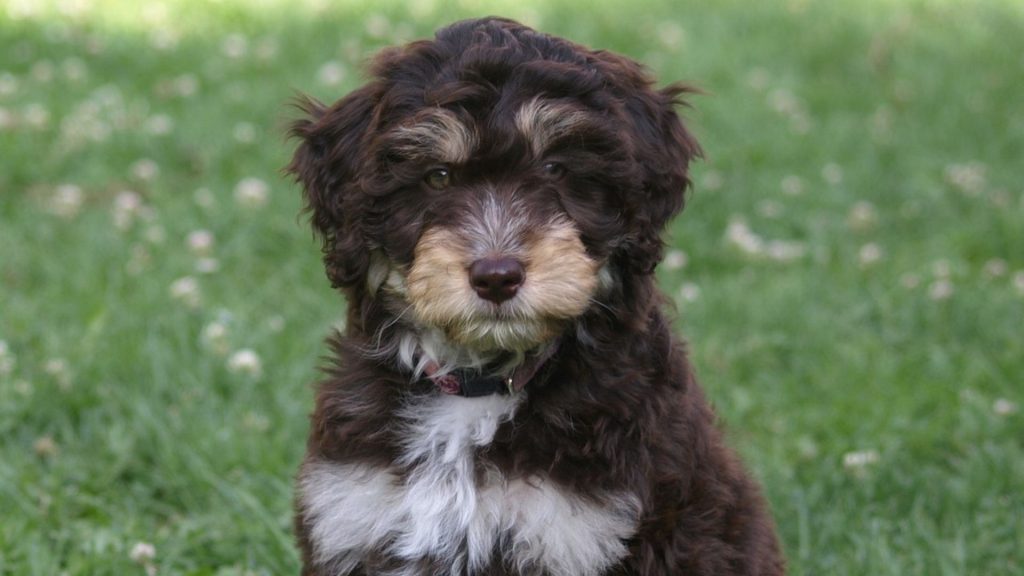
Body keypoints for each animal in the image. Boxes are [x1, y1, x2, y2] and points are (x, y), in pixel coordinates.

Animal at [288, 16, 782, 573]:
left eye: (555, 169)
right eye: (438, 177)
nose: (496, 276)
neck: (479, 386)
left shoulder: (579, 529)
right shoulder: (354, 510)